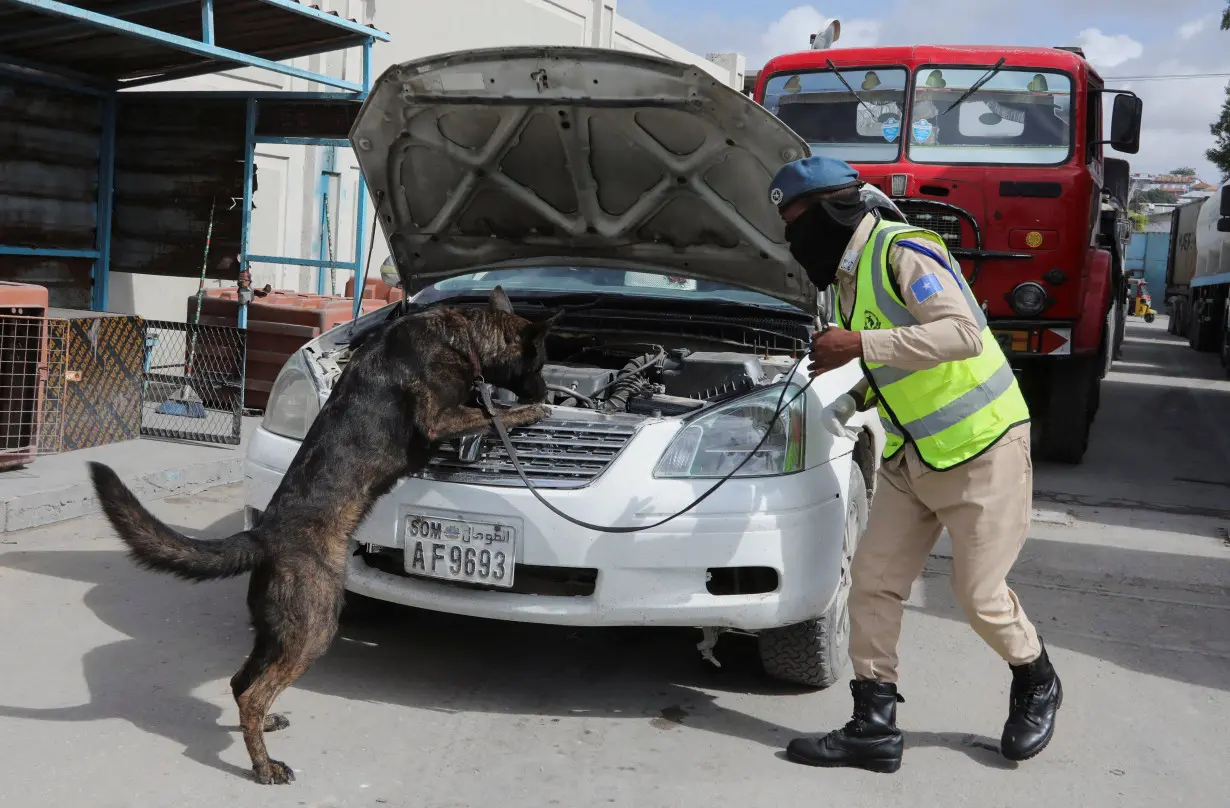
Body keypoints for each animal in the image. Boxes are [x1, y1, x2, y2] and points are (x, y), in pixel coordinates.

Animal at [89, 286, 560, 787]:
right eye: (540, 360)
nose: (550, 392)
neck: (463, 336)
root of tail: (264, 536)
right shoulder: (441, 418)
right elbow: (494, 413)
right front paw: (530, 409)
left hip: (278, 631)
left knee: (241, 683)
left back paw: (262, 729)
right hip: (314, 627)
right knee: (253, 693)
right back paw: (264, 765)